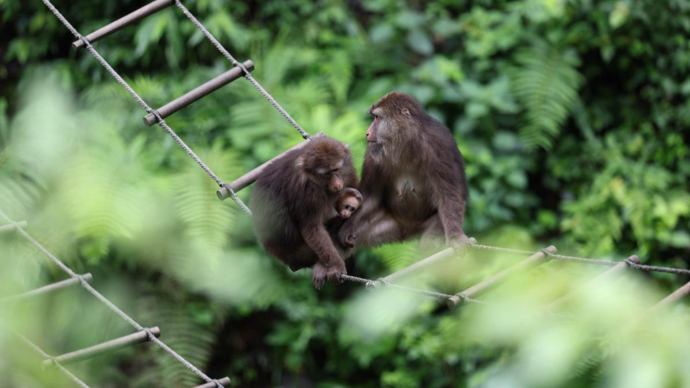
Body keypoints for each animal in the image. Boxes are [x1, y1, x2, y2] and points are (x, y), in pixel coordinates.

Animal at [251, 135, 358, 290]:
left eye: (336, 169)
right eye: (326, 173)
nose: (337, 184)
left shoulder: (349, 171)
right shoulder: (307, 191)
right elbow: (312, 228)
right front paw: (336, 265)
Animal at [338, 93, 468, 253]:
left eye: (376, 117)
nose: (367, 133)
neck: (405, 143)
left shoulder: (440, 146)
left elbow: (448, 195)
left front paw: (455, 237)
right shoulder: (372, 153)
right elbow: (370, 196)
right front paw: (347, 227)